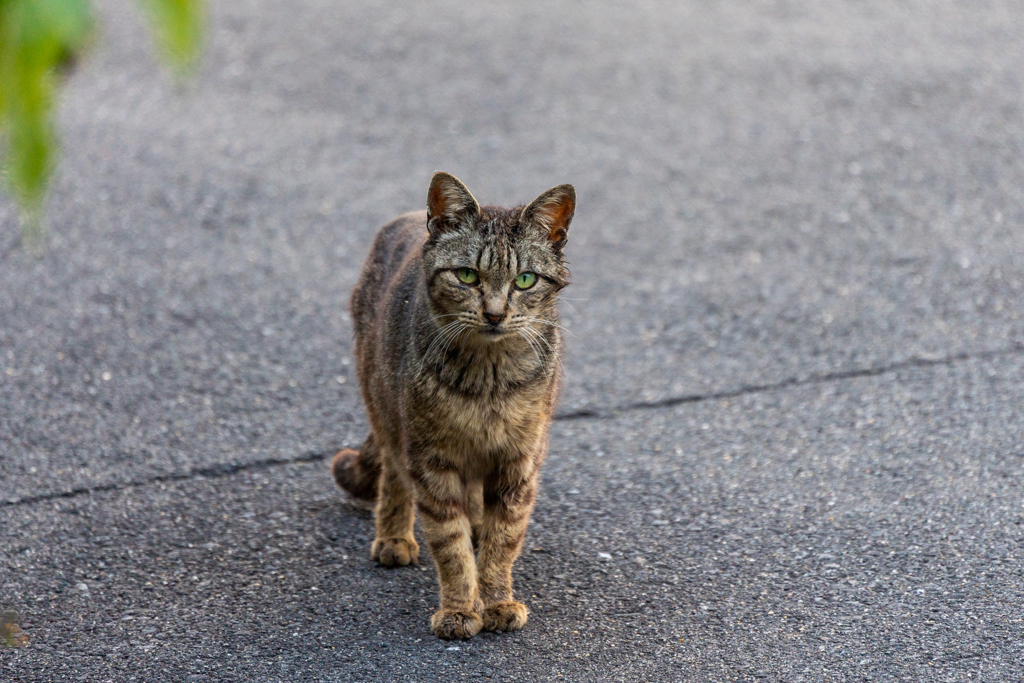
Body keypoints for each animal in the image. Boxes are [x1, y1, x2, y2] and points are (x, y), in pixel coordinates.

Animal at [333, 172, 577, 643]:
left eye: (525, 280)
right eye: (467, 276)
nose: (495, 314)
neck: (489, 381)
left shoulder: (519, 461)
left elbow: (504, 539)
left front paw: (496, 599)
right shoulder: (431, 460)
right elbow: (450, 544)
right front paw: (461, 608)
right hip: (384, 404)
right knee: (393, 471)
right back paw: (394, 535)